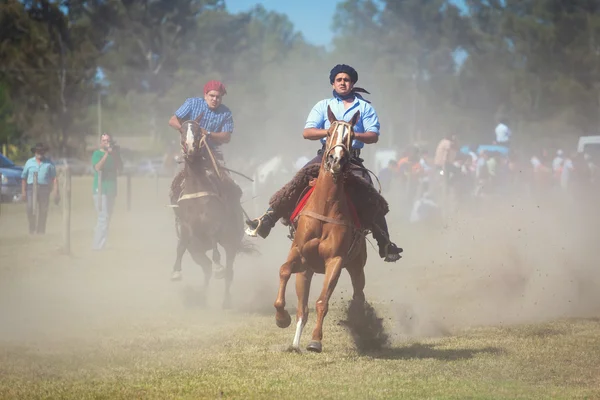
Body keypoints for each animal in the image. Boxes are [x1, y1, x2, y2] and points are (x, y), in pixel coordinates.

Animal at [172, 114, 247, 308]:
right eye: (182, 131)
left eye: (198, 131)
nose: (190, 147)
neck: (197, 186)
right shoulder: (186, 227)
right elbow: (181, 246)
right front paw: (176, 272)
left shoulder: (214, 222)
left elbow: (214, 239)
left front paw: (218, 268)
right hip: (196, 250)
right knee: (205, 268)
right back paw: (202, 299)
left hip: (231, 242)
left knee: (228, 271)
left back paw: (225, 300)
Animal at [274, 107, 368, 354]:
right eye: (328, 131)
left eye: (352, 135)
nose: (336, 160)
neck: (325, 206)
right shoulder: (299, 255)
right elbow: (284, 271)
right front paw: (281, 317)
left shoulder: (335, 260)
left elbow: (322, 302)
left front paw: (315, 340)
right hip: (306, 271)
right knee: (302, 308)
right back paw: (294, 342)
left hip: (357, 265)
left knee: (359, 294)